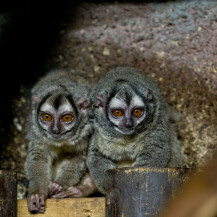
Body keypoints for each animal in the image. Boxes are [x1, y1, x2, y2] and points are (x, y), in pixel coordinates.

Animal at [25, 70, 95, 214]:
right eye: (47, 117)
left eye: (66, 118)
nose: (55, 130)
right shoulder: (37, 132)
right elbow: (38, 155)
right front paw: (37, 194)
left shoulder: (84, 131)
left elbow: (77, 156)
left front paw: (58, 185)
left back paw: (80, 189)